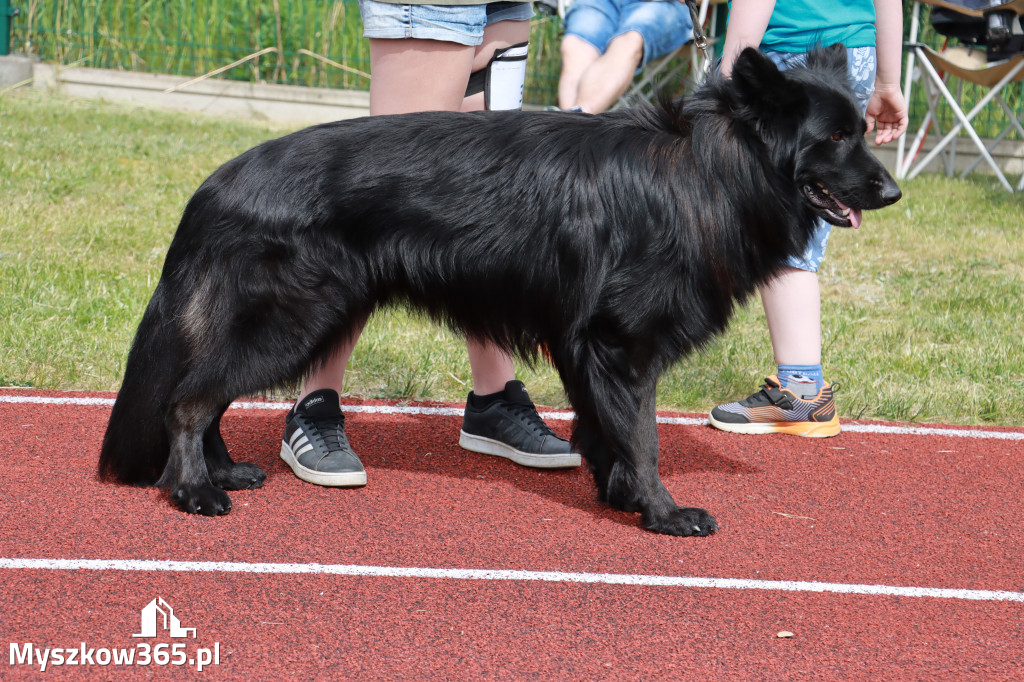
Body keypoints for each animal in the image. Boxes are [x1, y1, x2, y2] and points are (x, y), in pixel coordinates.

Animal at [94, 46, 897, 536]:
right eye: (834, 139)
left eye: (863, 131)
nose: (893, 190)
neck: (708, 169)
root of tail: (215, 183)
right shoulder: (621, 347)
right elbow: (642, 436)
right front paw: (662, 512)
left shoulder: (586, 350)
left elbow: (605, 432)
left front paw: (619, 497)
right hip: (291, 322)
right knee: (187, 400)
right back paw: (194, 490)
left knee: (205, 394)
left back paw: (222, 469)